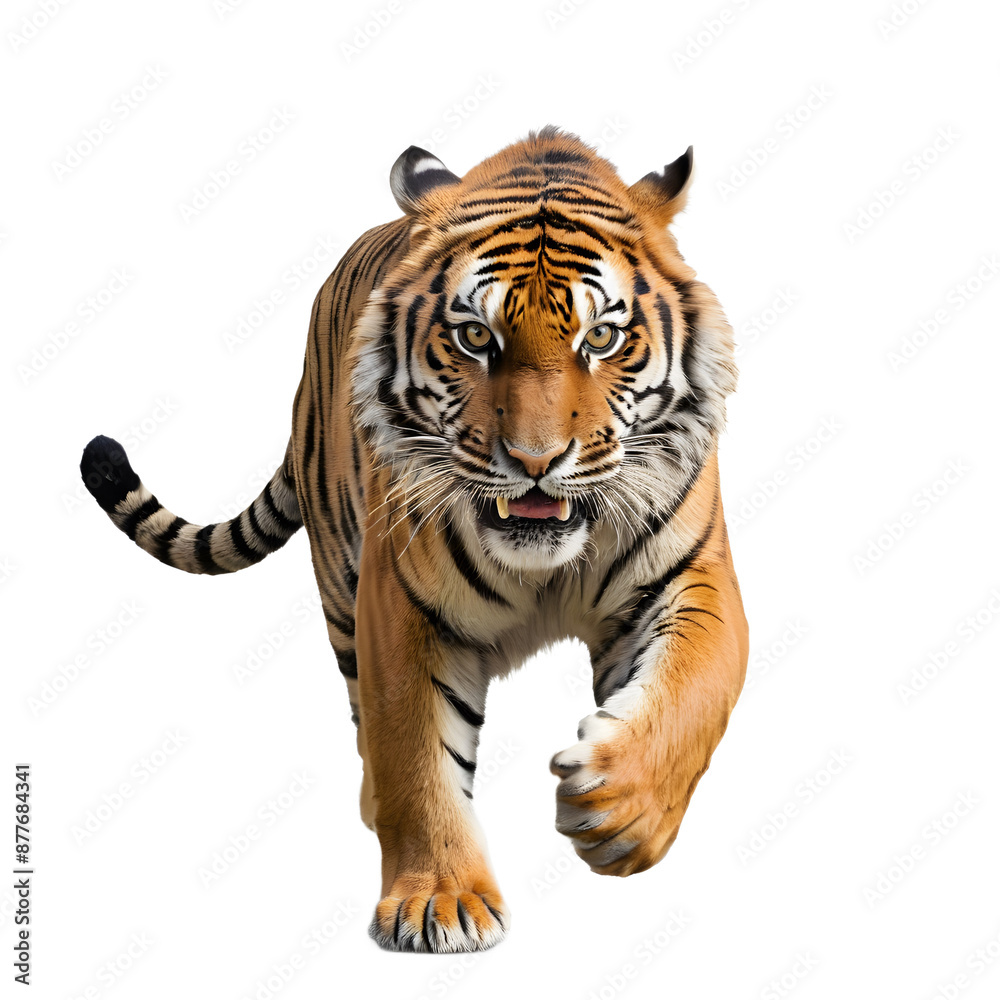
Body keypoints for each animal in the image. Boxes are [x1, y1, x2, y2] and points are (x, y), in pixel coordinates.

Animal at [79, 126, 749, 954]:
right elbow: (414, 751)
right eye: (474, 336)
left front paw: (618, 810)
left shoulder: (691, 577)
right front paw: (440, 901)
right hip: (340, 591)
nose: (535, 461)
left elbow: (694, 690)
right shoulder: (400, 605)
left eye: (601, 337)